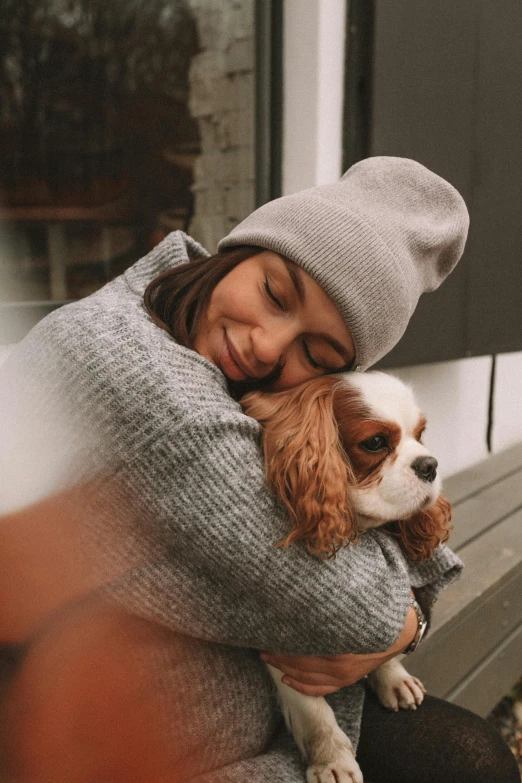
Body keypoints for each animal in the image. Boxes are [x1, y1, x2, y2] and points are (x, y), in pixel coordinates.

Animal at [242, 374, 448, 783]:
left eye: (421, 434)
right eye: (375, 442)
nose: (430, 464)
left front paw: (392, 677)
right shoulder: (279, 638)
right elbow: (314, 712)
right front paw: (332, 760)